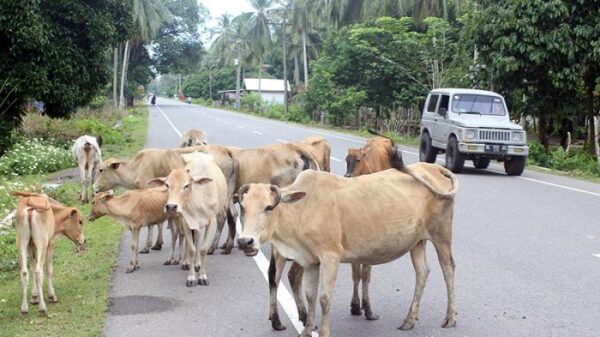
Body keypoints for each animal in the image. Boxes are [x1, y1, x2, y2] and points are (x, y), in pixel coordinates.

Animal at [148, 152, 227, 286]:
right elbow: (191, 249)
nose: (171, 206)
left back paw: (197, 263)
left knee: (197, 239)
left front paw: (202, 276)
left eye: (186, 185)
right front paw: (191, 277)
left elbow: (203, 249)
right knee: (187, 238)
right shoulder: (186, 221)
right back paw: (187, 262)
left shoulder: (211, 222)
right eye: (167, 185)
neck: (198, 200)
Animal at [236, 162, 460, 334]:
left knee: (448, 269)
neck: (303, 208)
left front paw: (324, 332)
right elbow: (310, 296)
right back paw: (409, 320)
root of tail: (433, 167)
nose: (245, 241)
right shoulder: (310, 262)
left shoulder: (330, 256)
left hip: (441, 235)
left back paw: (450, 317)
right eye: (243, 207)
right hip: (417, 242)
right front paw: (307, 330)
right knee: (422, 272)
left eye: (269, 207)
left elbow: (325, 298)